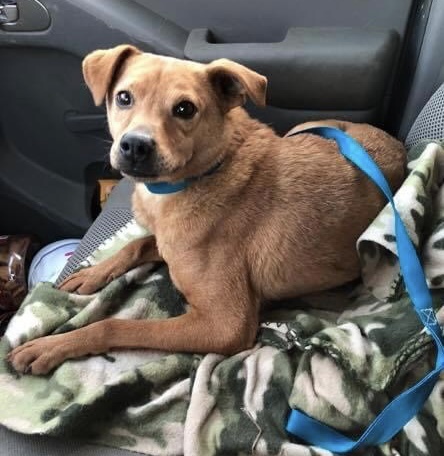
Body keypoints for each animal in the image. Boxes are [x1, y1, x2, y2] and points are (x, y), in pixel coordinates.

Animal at [8, 45, 408, 374]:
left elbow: (115, 324)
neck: (202, 173)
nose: (135, 146)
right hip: (307, 128)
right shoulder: (168, 244)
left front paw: (53, 345)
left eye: (185, 109)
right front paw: (94, 273)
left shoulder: (224, 325)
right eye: (124, 97)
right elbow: (137, 244)